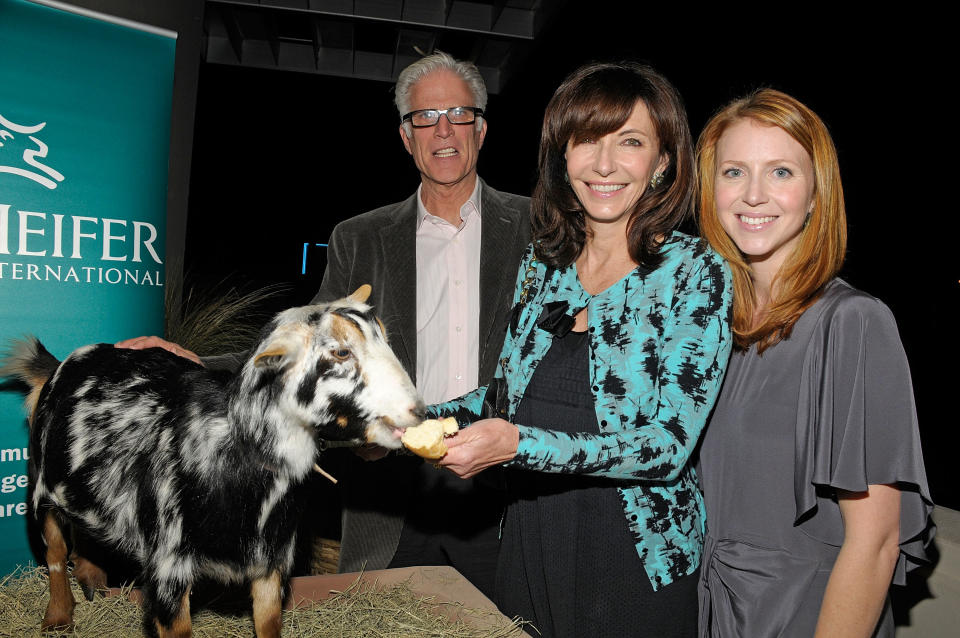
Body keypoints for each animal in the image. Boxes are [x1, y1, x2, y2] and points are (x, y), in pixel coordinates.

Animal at [0, 288, 420, 636]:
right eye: (340, 352)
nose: (418, 410)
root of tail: (61, 364)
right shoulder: (168, 569)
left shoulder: (271, 562)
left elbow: (268, 625)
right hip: (40, 487)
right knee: (55, 554)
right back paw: (58, 617)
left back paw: (92, 577)